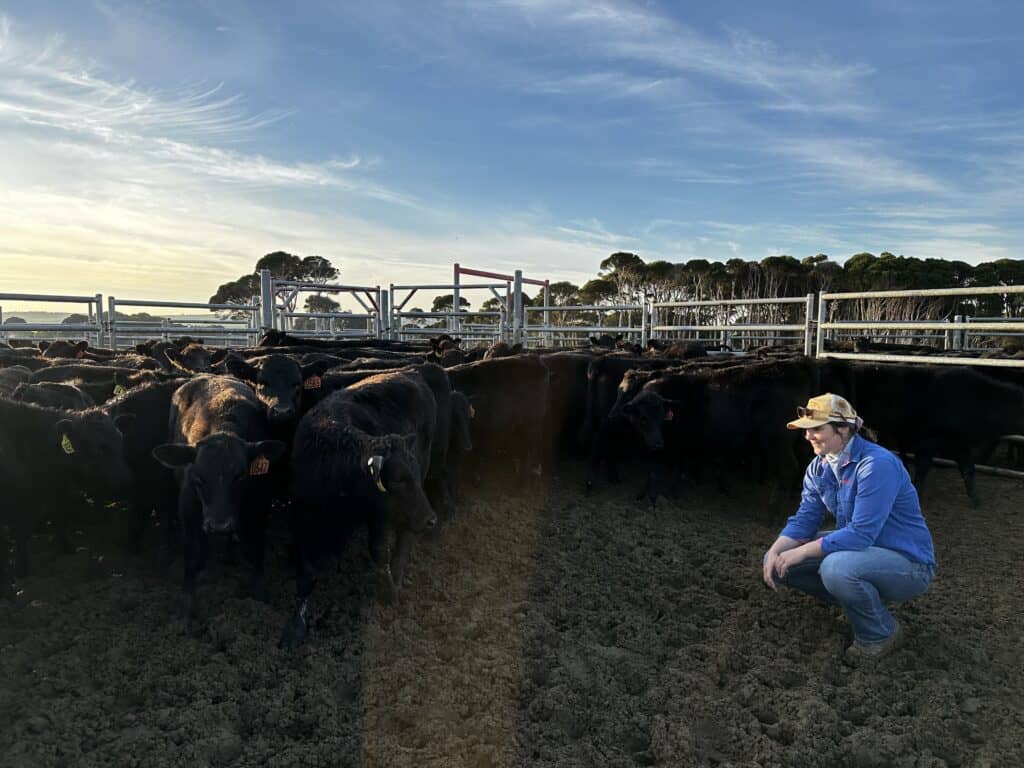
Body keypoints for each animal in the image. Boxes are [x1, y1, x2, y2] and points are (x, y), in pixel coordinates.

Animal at [149, 376, 284, 626]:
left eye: (241, 476)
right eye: (198, 477)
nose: (219, 526)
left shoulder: (260, 505)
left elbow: (256, 548)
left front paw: (261, 594)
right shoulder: (188, 509)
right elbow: (191, 555)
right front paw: (187, 609)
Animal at [280, 370, 436, 647]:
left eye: (414, 477)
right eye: (398, 480)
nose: (431, 520)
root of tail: (410, 372)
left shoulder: (379, 516)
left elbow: (379, 552)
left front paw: (389, 593)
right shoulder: (300, 518)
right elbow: (306, 574)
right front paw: (294, 628)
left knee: (405, 535)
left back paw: (398, 571)